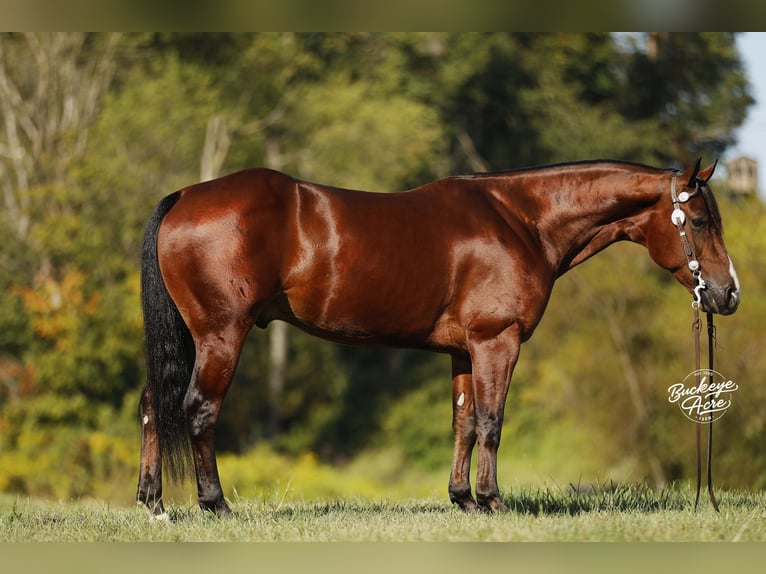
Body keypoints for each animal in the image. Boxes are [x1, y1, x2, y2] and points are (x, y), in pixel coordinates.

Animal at [136, 158, 740, 518]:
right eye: (701, 221)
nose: (728, 294)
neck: (521, 220)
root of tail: (185, 195)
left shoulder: (463, 350)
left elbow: (464, 423)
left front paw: (463, 499)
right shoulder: (498, 341)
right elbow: (492, 422)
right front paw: (494, 502)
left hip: (188, 337)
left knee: (153, 405)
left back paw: (154, 502)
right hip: (221, 334)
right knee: (198, 408)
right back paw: (215, 505)